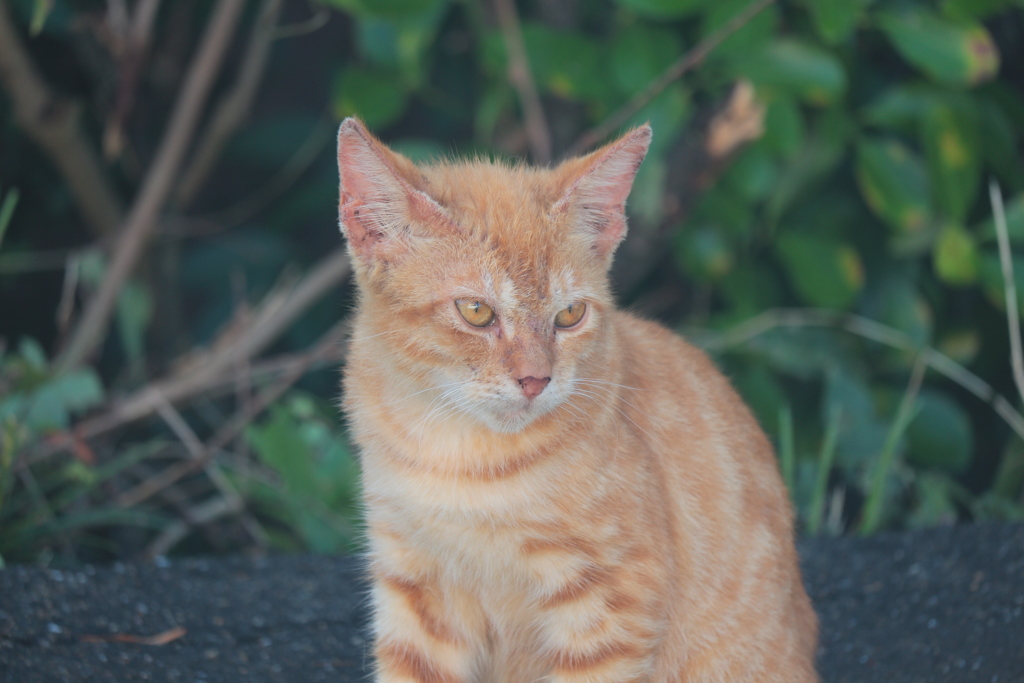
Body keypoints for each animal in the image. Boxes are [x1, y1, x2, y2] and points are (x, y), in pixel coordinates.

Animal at [339, 118, 819, 683]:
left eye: (569, 315)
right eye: (476, 311)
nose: (535, 379)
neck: (461, 455)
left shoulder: (613, 602)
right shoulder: (415, 585)